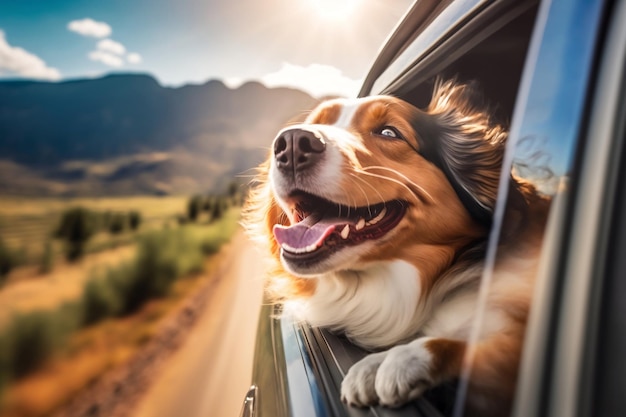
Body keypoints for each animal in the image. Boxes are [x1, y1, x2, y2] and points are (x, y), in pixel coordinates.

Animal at [243, 79, 544, 414]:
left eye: (389, 132)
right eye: (316, 123)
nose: (292, 143)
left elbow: (473, 347)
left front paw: (400, 360)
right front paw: (377, 364)